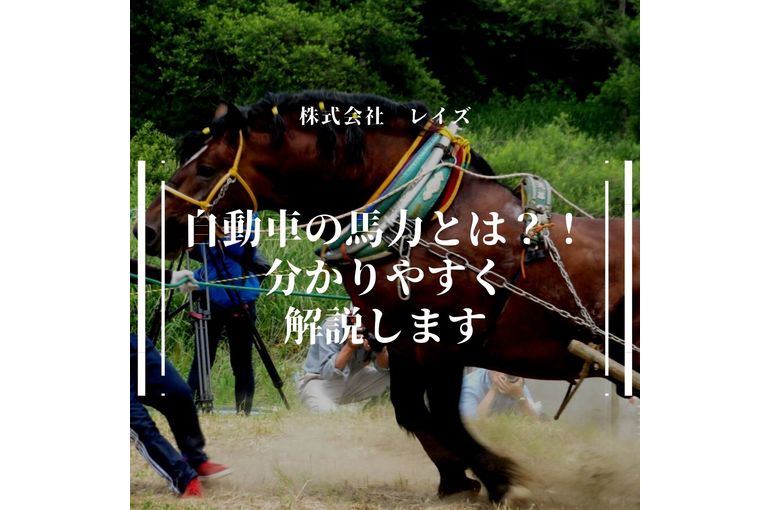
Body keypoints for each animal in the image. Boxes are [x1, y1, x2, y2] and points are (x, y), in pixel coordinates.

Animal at [139, 91, 640, 503]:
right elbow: (411, 411)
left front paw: (500, 480)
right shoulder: (401, 339)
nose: (146, 229)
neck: (425, 220)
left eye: (206, 169)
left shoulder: (443, 342)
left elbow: (443, 416)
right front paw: (456, 479)